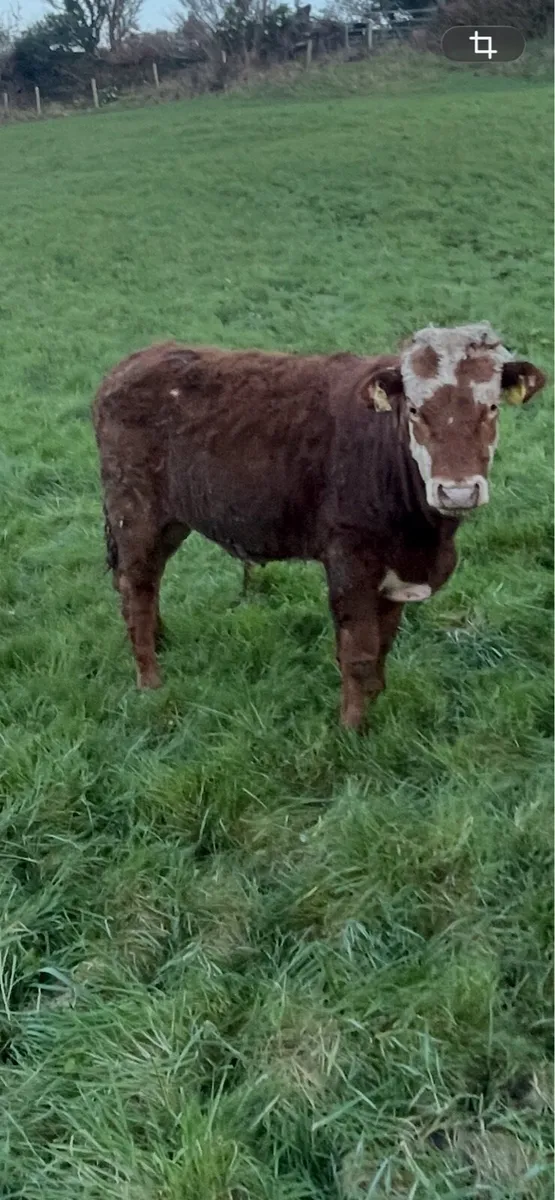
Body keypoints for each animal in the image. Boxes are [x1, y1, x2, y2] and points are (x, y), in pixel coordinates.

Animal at [92, 323, 545, 729]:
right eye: (416, 410)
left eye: (491, 407)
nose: (457, 492)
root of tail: (132, 362)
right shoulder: (350, 557)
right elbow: (358, 652)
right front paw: (352, 730)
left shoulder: (397, 568)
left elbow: (383, 644)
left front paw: (376, 703)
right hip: (135, 511)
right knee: (135, 588)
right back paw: (149, 679)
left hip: (170, 519)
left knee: (147, 581)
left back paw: (162, 640)